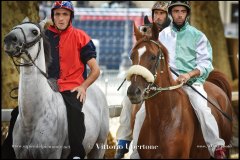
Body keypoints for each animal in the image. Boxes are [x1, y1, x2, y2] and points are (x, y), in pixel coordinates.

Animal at [3, 17, 109, 159]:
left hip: (99, 147)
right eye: (15, 27)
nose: (9, 39)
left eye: (35, 31)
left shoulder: (52, 154)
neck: (32, 121)